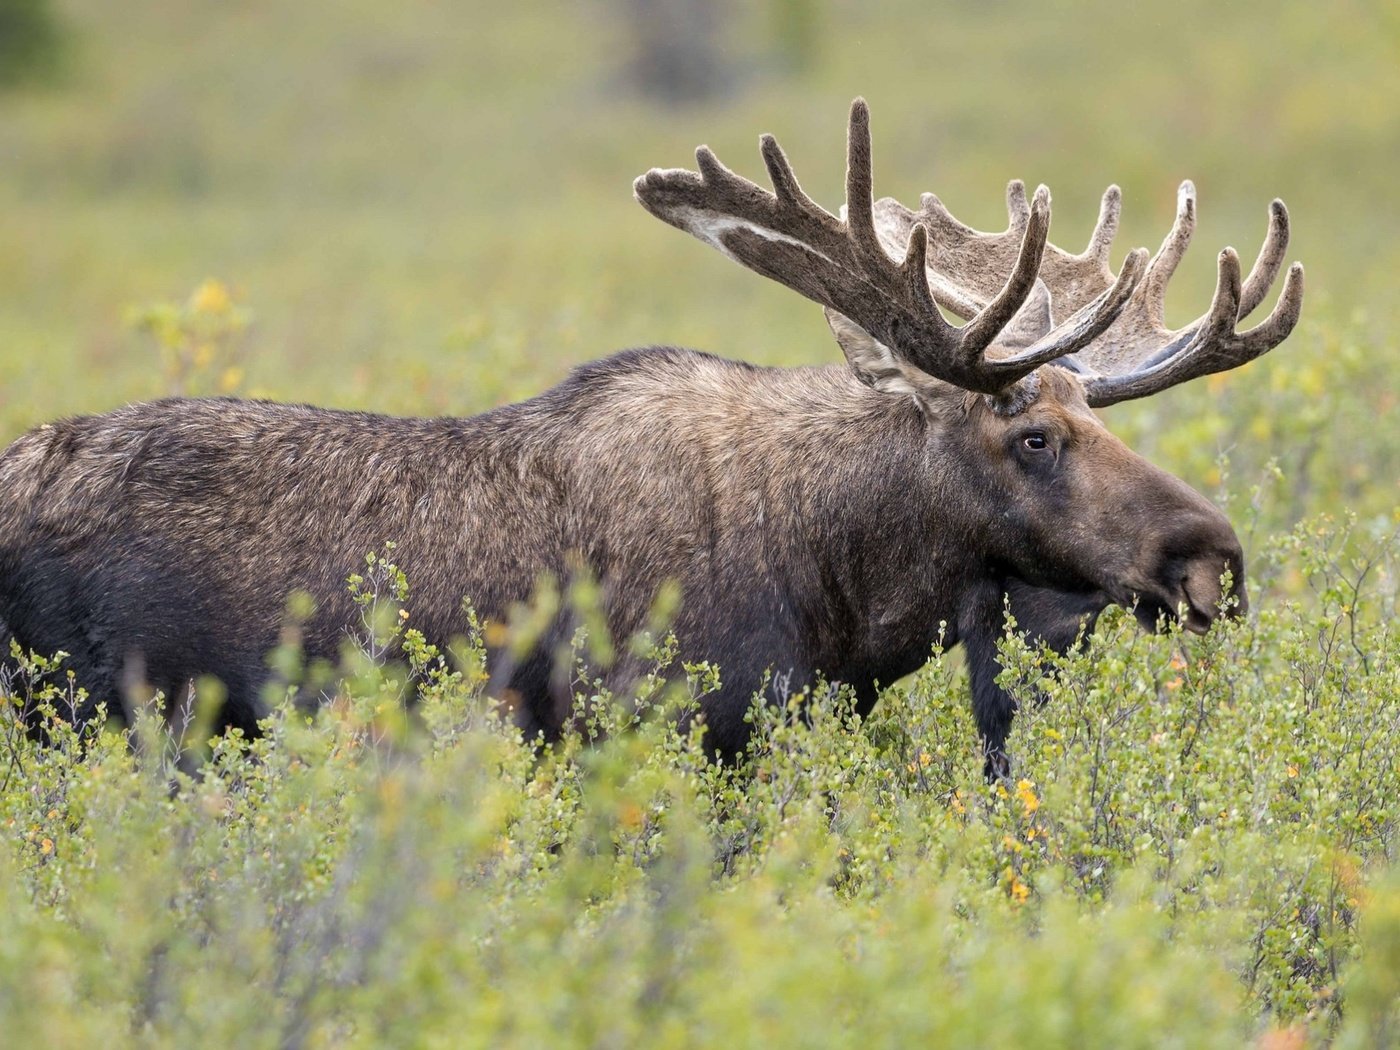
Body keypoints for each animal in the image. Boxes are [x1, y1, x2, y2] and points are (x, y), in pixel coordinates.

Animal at [0, 100, 1299, 772]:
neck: (844, 582)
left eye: (1084, 412)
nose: (1212, 558)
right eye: (1029, 437)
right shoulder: (652, 726)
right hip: (80, 720)